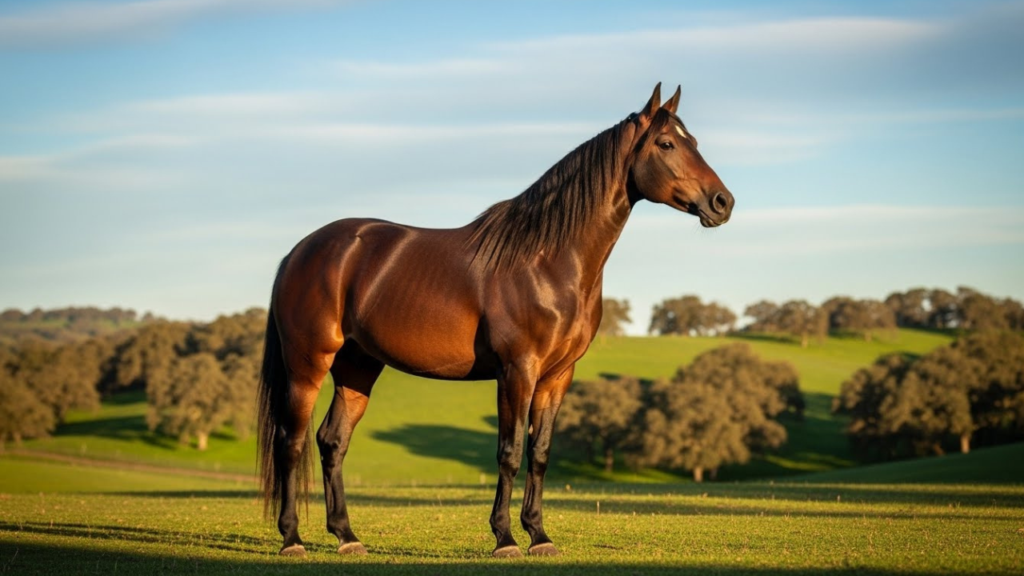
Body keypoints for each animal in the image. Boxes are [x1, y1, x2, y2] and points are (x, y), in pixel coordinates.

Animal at [256, 83, 734, 558]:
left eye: (693, 141)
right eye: (666, 143)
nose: (723, 202)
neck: (547, 259)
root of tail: (300, 251)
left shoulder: (557, 376)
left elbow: (539, 453)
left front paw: (539, 535)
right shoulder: (517, 370)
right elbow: (509, 451)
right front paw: (505, 538)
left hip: (357, 367)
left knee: (332, 441)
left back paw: (347, 536)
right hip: (308, 364)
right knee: (291, 441)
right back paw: (292, 539)